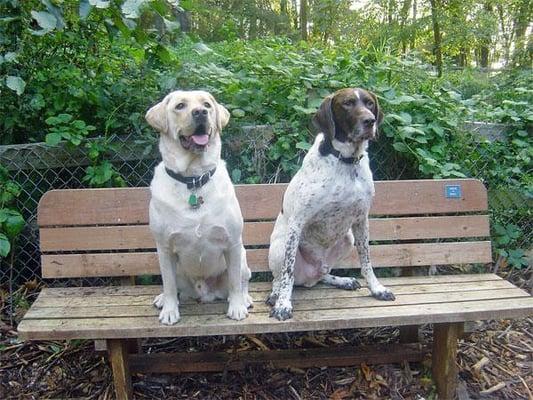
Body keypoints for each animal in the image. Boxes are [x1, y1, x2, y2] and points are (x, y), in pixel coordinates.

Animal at [144, 90, 252, 324]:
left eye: (207, 105)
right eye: (180, 106)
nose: (201, 112)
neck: (193, 179)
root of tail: (204, 292)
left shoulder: (232, 243)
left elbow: (234, 283)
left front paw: (237, 307)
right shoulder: (164, 248)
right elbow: (168, 285)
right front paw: (169, 310)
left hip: (243, 257)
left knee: (243, 280)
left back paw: (246, 299)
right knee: (172, 286)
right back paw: (162, 300)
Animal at [268, 88, 392, 322]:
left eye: (370, 104)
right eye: (347, 103)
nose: (370, 121)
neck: (347, 161)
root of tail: (309, 275)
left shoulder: (361, 220)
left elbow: (367, 261)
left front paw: (377, 289)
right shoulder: (296, 224)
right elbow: (287, 273)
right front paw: (283, 304)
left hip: (347, 239)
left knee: (323, 273)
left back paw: (341, 280)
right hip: (279, 247)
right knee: (279, 278)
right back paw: (275, 294)